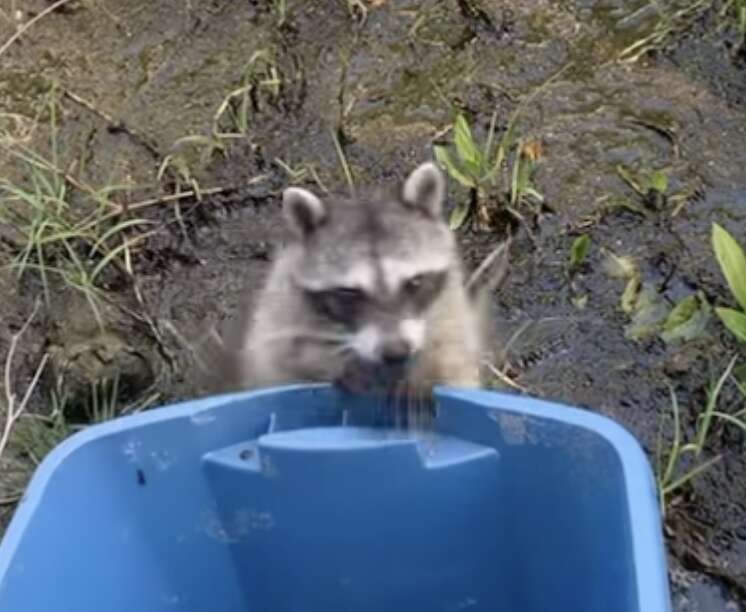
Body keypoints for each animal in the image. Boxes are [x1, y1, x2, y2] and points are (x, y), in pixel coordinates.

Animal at [212, 160, 502, 396]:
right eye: (348, 293)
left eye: (415, 282)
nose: (395, 352)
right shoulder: (282, 301)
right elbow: (280, 353)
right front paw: (336, 363)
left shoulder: (449, 300)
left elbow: (454, 349)